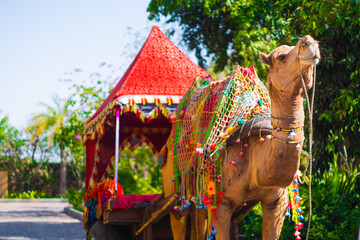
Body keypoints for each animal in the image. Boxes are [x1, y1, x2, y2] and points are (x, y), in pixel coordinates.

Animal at [160, 36, 320, 240]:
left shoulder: (277, 202)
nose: (309, 42)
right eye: (281, 57)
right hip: (174, 186)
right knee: (178, 218)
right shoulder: (222, 201)